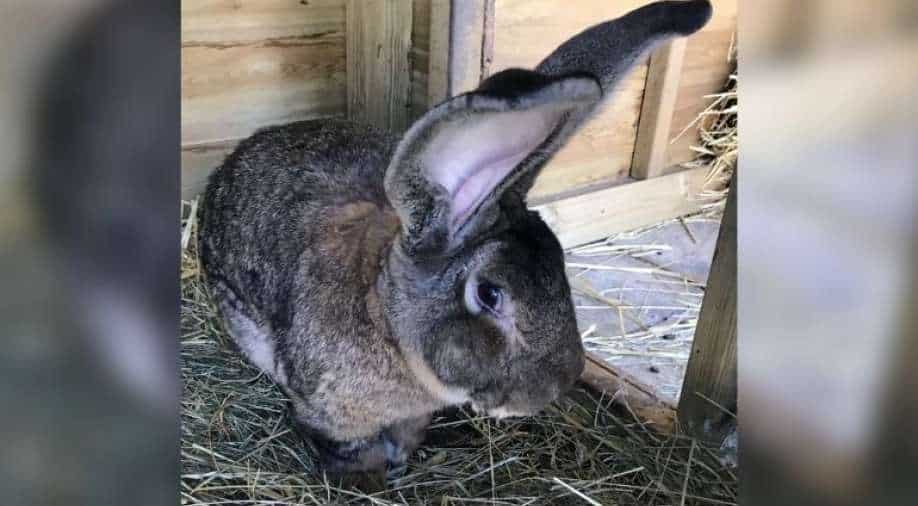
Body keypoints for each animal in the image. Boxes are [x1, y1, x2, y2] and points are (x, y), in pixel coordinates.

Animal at [198, 0, 712, 487]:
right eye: (489, 293)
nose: (557, 385)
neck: (384, 319)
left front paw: (401, 457)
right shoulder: (328, 412)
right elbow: (346, 446)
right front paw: (369, 478)